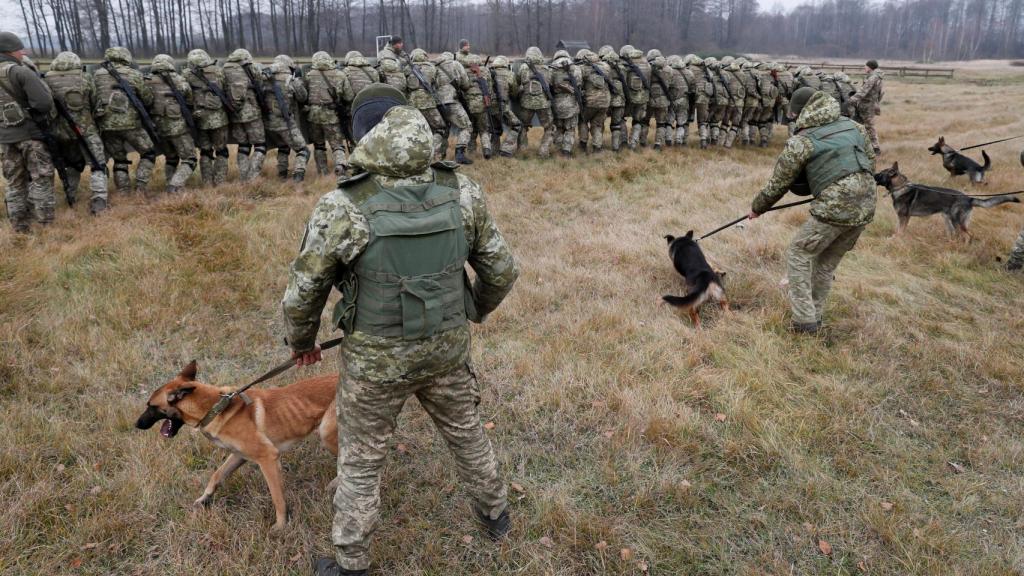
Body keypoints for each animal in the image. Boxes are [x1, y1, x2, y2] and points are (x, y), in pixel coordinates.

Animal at [132, 358, 337, 528]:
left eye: (151, 406)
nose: (136, 424)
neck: (214, 408)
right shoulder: (239, 455)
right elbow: (216, 475)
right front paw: (203, 500)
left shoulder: (268, 457)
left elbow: (277, 497)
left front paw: (281, 526)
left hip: (326, 433)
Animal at [872, 161, 1015, 239]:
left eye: (880, 174)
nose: (872, 174)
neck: (900, 187)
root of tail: (969, 198)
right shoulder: (902, 218)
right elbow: (898, 229)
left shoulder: (904, 217)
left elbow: (900, 230)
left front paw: (895, 239)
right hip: (948, 220)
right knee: (957, 234)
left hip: (956, 220)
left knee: (967, 235)